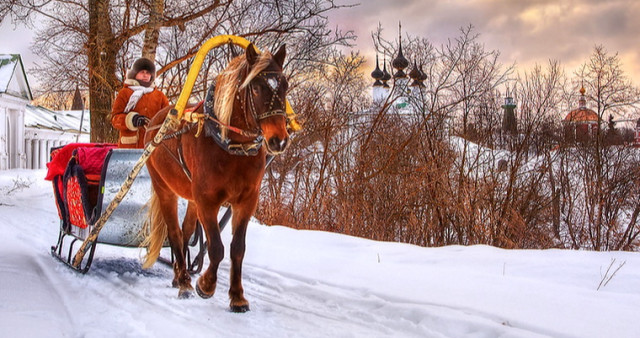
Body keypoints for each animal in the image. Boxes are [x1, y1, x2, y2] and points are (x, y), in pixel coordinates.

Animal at [142, 43, 290, 312]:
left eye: (284, 85)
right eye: (255, 88)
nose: (279, 140)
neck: (232, 148)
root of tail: (156, 121)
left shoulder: (246, 202)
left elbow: (237, 249)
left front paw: (238, 296)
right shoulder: (207, 201)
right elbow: (216, 247)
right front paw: (206, 285)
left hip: (191, 198)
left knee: (186, 232)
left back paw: (180, 276)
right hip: (164, 188)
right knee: (175, 233)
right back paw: (184, 283)